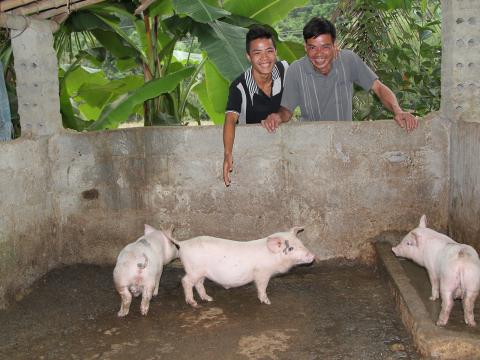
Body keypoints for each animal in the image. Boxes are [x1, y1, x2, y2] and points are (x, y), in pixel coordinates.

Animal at [168, 228, 316, 306]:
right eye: (290, 248)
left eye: (301, 242)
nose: (313, 255)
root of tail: (183, 244)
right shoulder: (262, 273)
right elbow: (262, 287)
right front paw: (267, 302)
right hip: (194, 269)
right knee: (185, 281)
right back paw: (193, 303)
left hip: (200, 272)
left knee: (198, 284)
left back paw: (209, 299)